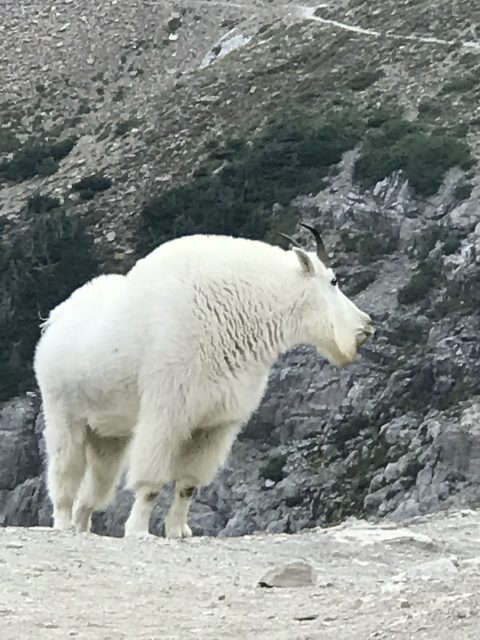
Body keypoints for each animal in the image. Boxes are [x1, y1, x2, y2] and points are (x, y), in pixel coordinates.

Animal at [34, 228, 376, 536]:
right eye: (333, 281)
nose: (367, 326)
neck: (244, 307)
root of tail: (54, 319)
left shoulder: (216, 424)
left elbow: (188, 484)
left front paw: (179, 531)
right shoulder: (167, 411)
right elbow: (151, 481)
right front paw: (139, 531)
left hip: (107, 433)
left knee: (97, 484)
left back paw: (82, 527)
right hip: (64, 412)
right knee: (65, 472)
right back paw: (63, 524)